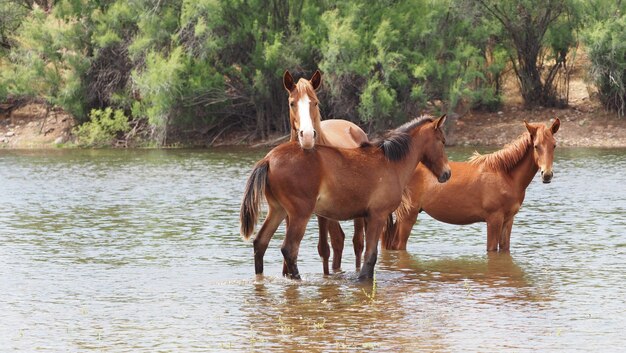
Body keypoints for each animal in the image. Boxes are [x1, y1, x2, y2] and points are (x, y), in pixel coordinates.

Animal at [239, 114, 448, 280]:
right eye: (443, 142)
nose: (447, 173)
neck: (391, 163)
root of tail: (268, 159)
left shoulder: (366, 217)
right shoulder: (377, 216)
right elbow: (370, 256)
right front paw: (362, 279)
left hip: (278, 210)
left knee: (260, 243)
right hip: (300, 214)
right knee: (289, 249)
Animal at [282, 69, 366, 272]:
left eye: (315, 102)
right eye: (292, 103)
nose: (307, 136)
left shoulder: (320, 213)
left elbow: (324, 249)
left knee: (357, 243)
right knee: (339, 241)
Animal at [380, 118, 560, 250]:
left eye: (554, 145)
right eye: (536, 146)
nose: (547, 174)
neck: (506, 175)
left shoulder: (508, 220)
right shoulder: (494, 220)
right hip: (408, 216)